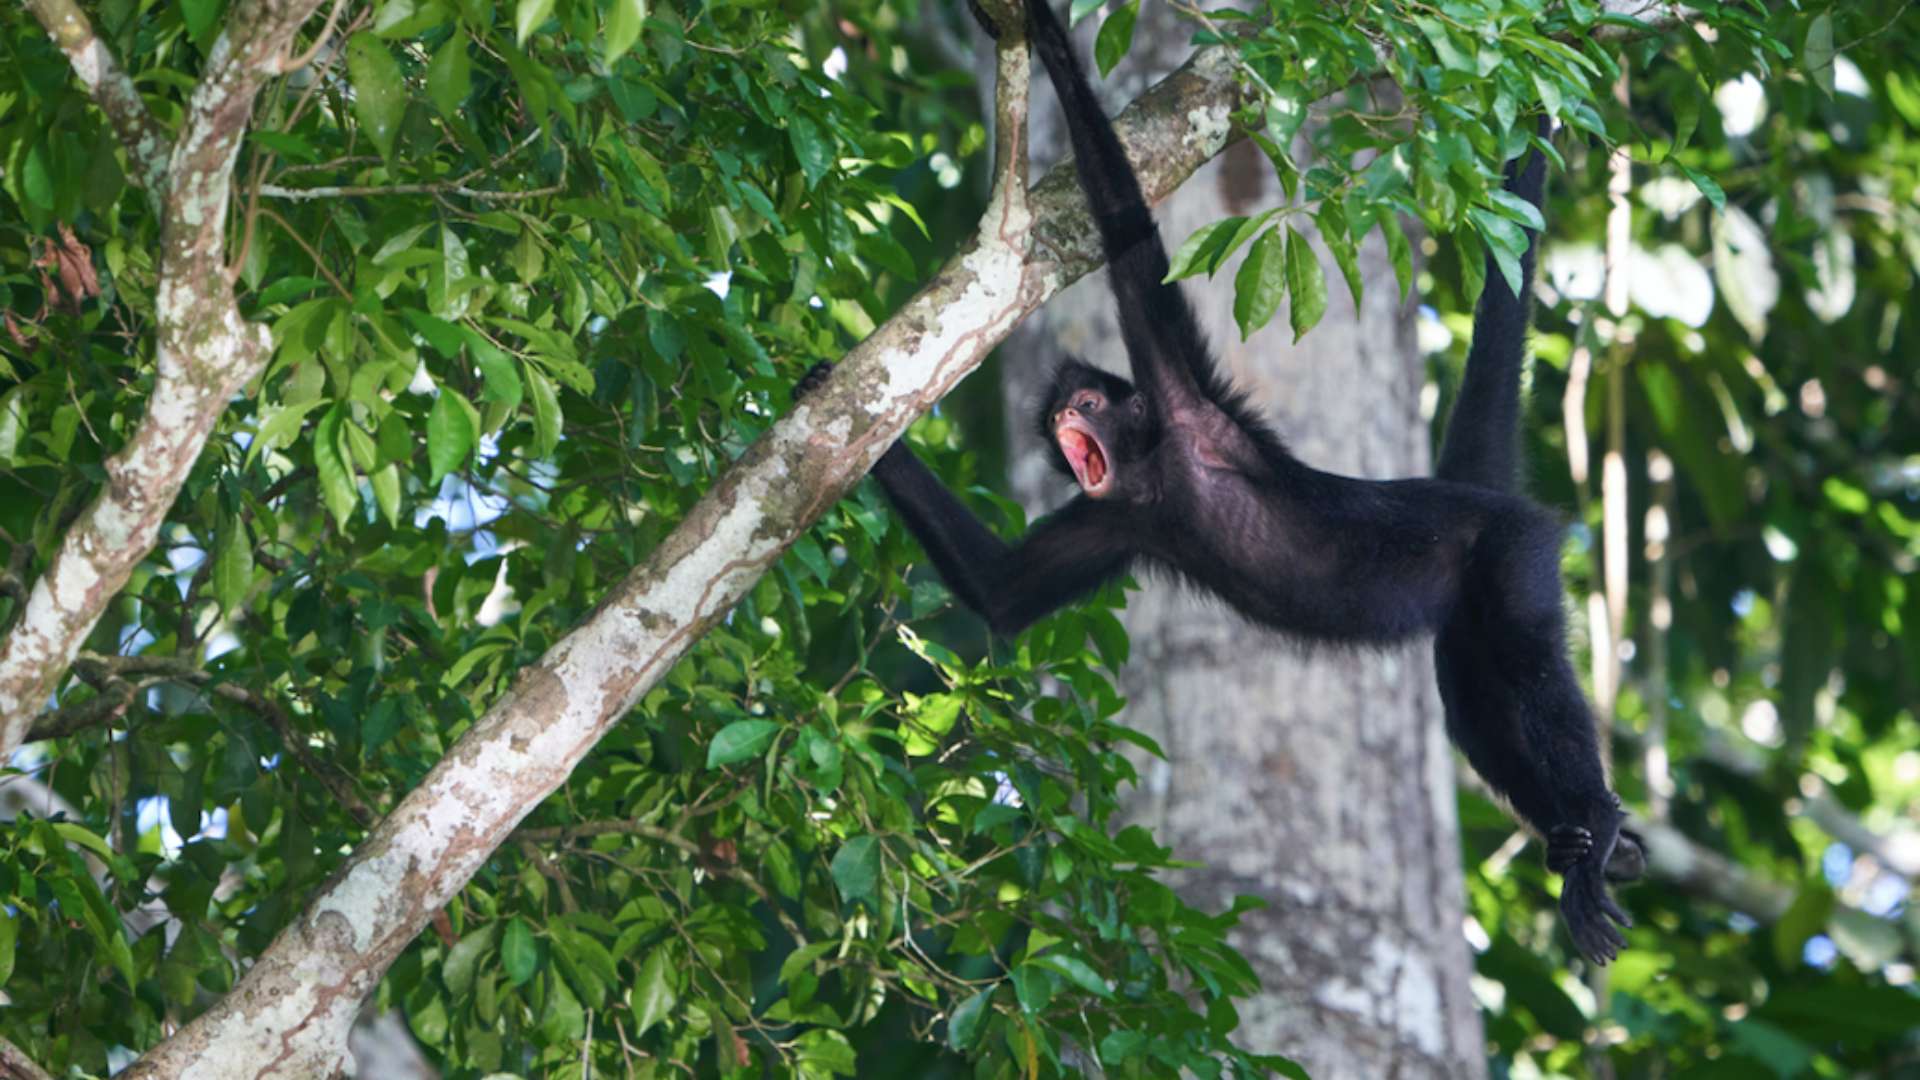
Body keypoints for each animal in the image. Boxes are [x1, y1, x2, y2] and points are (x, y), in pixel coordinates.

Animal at [794, 0, 1651, 960]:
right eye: (1056, 425)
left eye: (1085, 402)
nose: (1064, 428)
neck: (1156, 474)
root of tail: (1482, 501)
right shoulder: (1119, 518)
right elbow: (1001, 592)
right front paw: (844, 411)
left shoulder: (1183, 403)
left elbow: (1132, 240)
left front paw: (1047, 37)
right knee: (1477, 708)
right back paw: (1602, 845)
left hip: (1512, 550)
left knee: (1531, 663)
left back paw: (1597, 824)